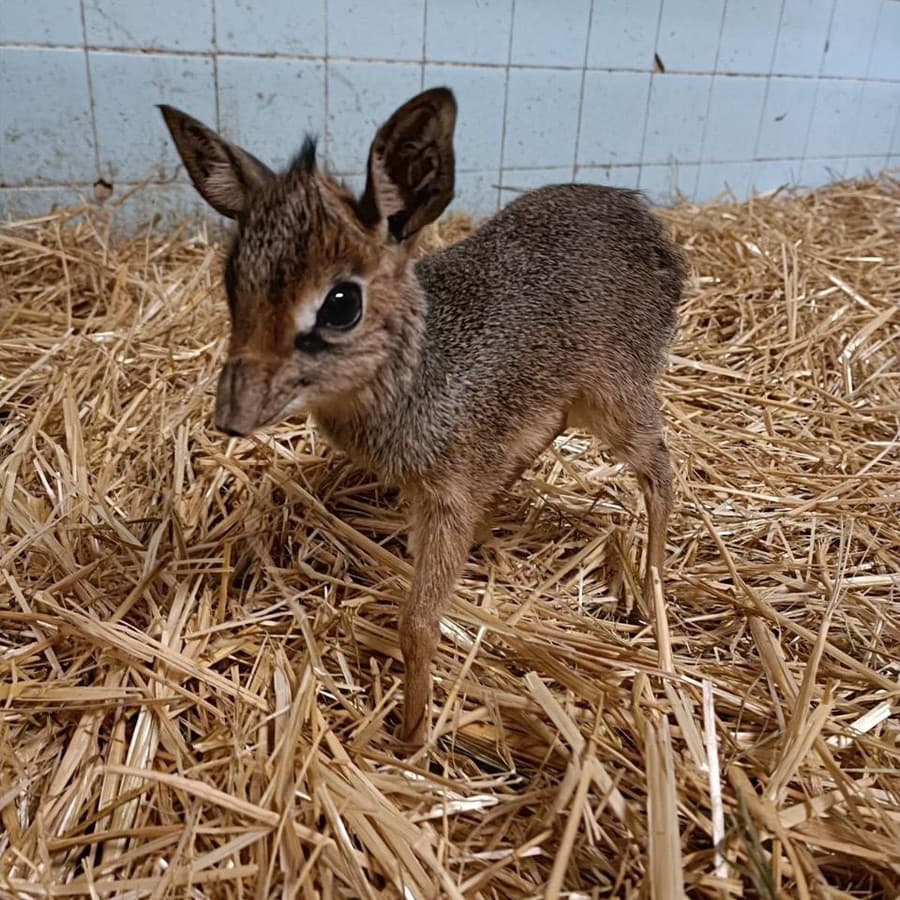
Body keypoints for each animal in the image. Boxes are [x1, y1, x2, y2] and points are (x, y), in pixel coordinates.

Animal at [162, 86, 684, 744]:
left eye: (341, 303)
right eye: (233, 281)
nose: (233, 412)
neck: (420, 375)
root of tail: (651, 224)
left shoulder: (446, 498)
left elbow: (417, 625)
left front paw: (410, 736)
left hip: (619, 396)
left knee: (661, 470)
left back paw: (650, 591)